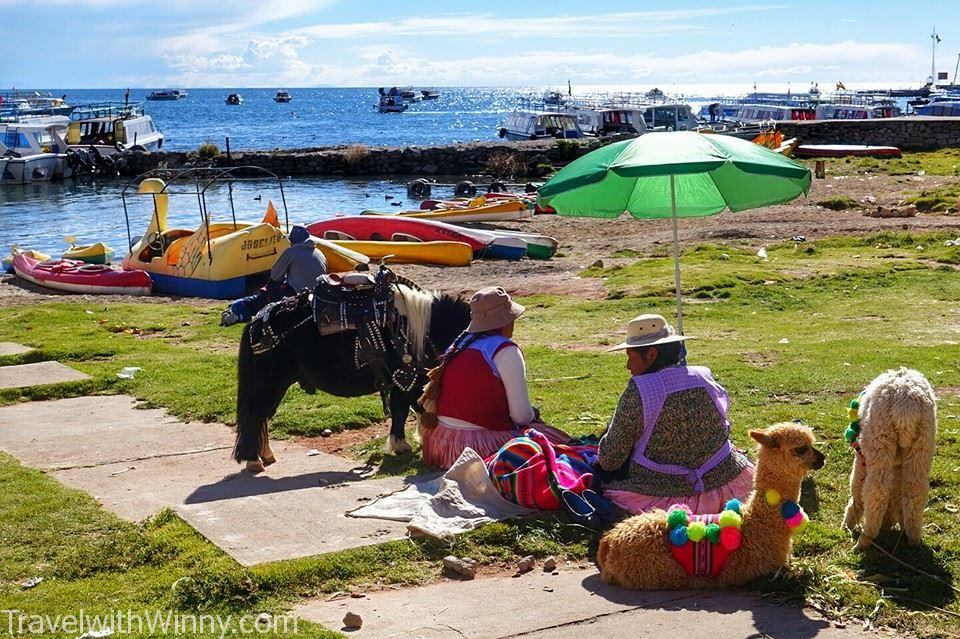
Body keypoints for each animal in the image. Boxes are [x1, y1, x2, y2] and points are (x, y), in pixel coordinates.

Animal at [234, 282, 470, 472]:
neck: (420, 328)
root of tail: (258, 320)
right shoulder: (404, 378)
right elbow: (403, 411)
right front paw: (402, 445)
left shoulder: (410, 381)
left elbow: (416, 408)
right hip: (270, 383)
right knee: (256, 415)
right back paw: (254, 461)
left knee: (262, 417)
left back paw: (266, 455)